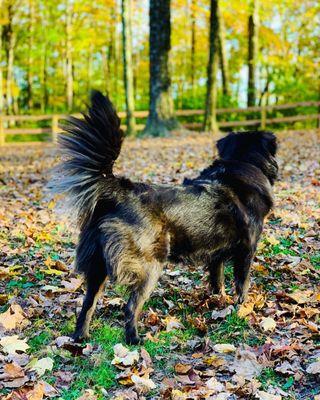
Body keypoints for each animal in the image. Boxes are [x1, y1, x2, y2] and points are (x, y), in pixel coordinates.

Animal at [53, 90, 278, 344]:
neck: (241, 164)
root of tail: (119, 190)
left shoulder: (216, 254)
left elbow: (217, 280)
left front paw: (218, 301)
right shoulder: (247, 250)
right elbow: (242, 283)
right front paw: (241, 308)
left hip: (97, 266)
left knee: (87, 304)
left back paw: (80, 337)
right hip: (150, 265)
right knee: (130, 307)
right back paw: (135, 340)